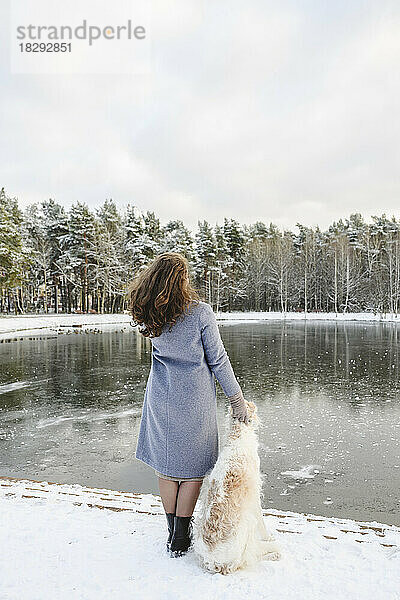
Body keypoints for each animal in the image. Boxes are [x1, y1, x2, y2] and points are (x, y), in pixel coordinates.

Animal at [193, 400, 282, 576]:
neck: (237, 438)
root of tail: (214, 563)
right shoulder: (254, 495)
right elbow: (262, 521)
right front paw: (268, 536)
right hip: (247, 525)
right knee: (251, 556)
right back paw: (274, 552)